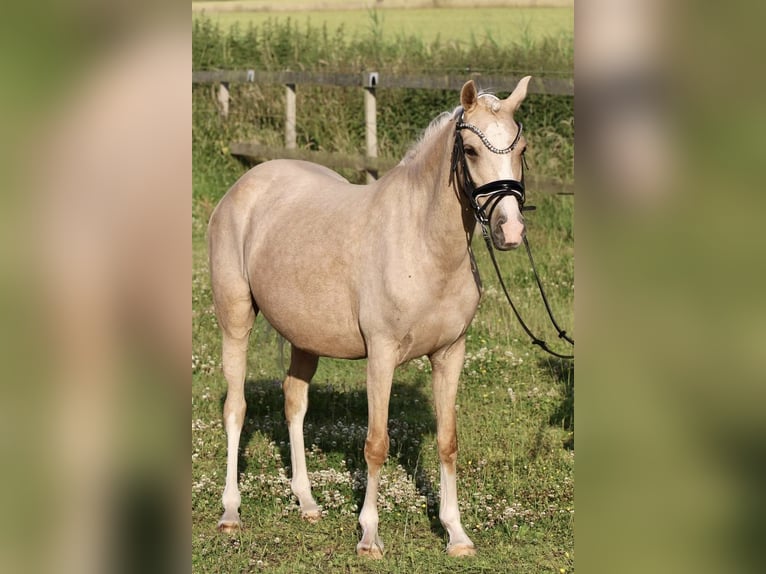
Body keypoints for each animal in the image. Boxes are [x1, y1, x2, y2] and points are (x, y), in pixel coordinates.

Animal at [208, 76, 536, 560]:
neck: (423, 241)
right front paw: (369, 536)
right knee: (236, 409)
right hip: (235, 322)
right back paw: (231, 511)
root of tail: (244, 185)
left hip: (305, 338)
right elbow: (376, 444)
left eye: (522, 148)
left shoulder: (450, 355)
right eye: (471, 151)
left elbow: (448, 442)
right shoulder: (381, 356)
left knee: (294, 404)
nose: (509, 230)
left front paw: (456, 534)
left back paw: (308, 503)